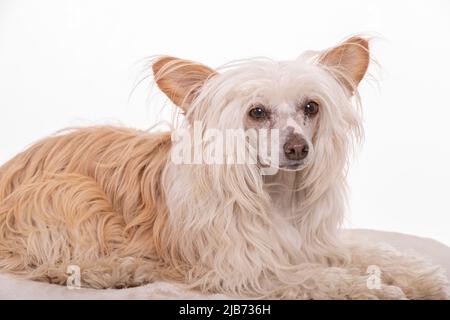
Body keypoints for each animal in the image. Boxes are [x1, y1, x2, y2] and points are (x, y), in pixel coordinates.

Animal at [0, 36, 448, 298]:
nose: (298, 148)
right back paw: (121, 270)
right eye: (257, 112)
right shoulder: (248, 270)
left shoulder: (320, 244)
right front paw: (372, 289)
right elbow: (313, 278)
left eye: (311, 107)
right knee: (54, 264)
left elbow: (382, 254)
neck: (275, 192)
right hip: (69, 191)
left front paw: (427, 279)